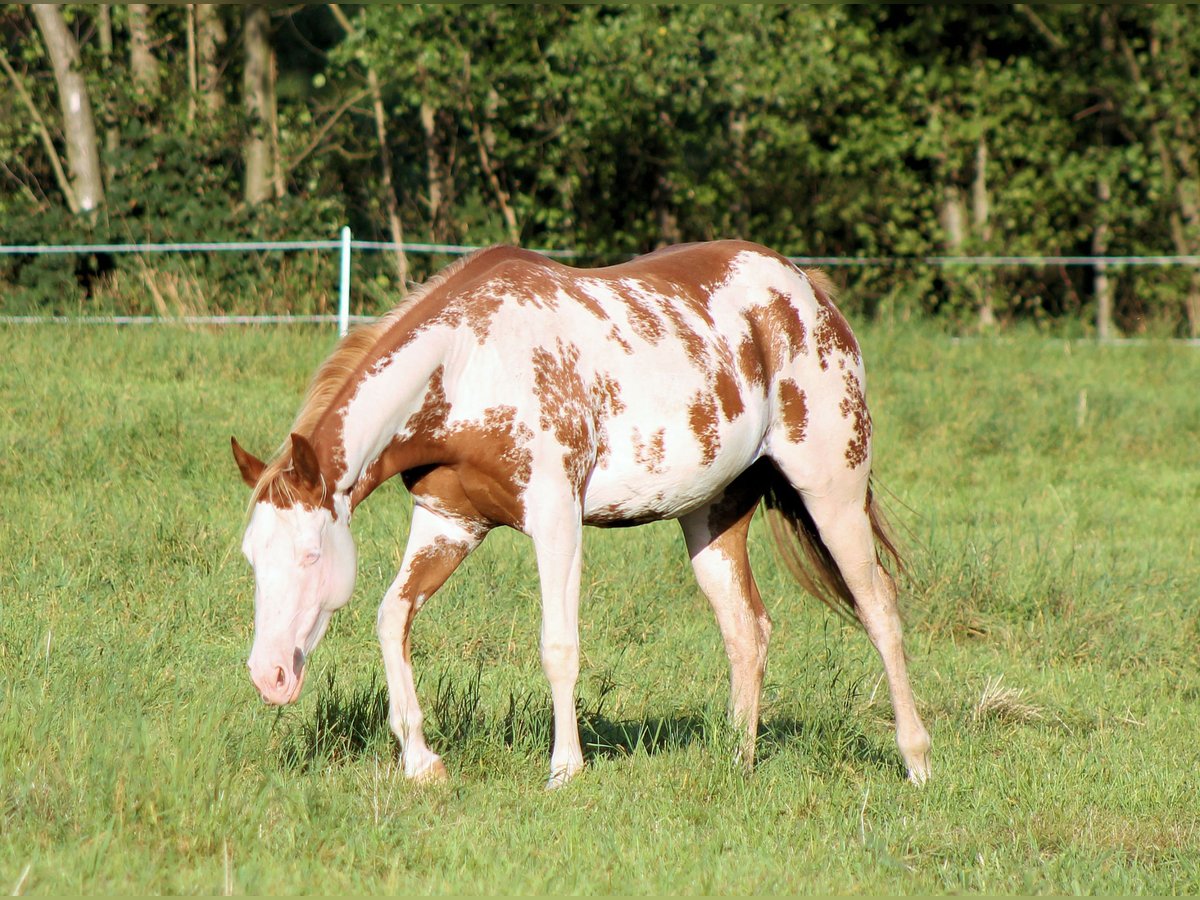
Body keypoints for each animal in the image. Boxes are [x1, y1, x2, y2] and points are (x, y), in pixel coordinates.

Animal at [231, 240, 931, 787]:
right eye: (252, 558)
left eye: (311, 555)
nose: (268, 676)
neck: (467, 361)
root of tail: (808, 290)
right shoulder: (447, 522)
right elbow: (391, 617)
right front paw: (421, 763)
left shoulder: (556, 520)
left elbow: (559, 645)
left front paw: (564, 769)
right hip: (712, 516)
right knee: (746, 629)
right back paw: (738, 763)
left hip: (832, 493)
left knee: (878, 606)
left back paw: (917, 760)